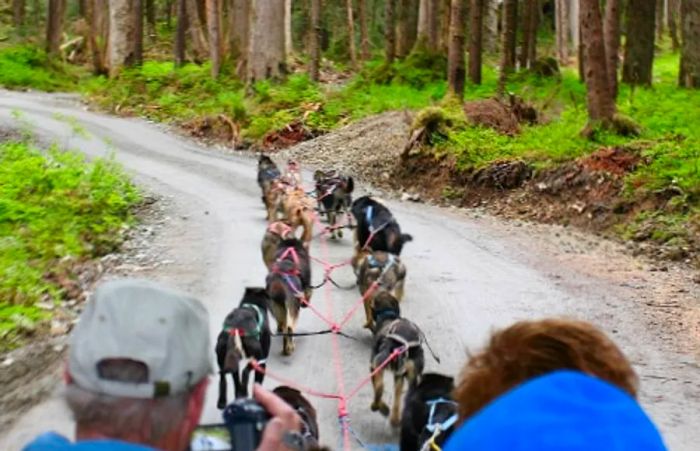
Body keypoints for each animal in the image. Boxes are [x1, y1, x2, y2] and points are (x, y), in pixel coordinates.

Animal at [370, 294, 424, 428]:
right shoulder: (399, 374)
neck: (388, 315)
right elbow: (398, 395)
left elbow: (376, 386)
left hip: (379, 362)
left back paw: (375, 405)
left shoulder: (373, 365)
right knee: (404, 396)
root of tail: (401, 344)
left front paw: (381, 407)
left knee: (380, 387)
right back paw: (396, 419)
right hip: (410, 375)